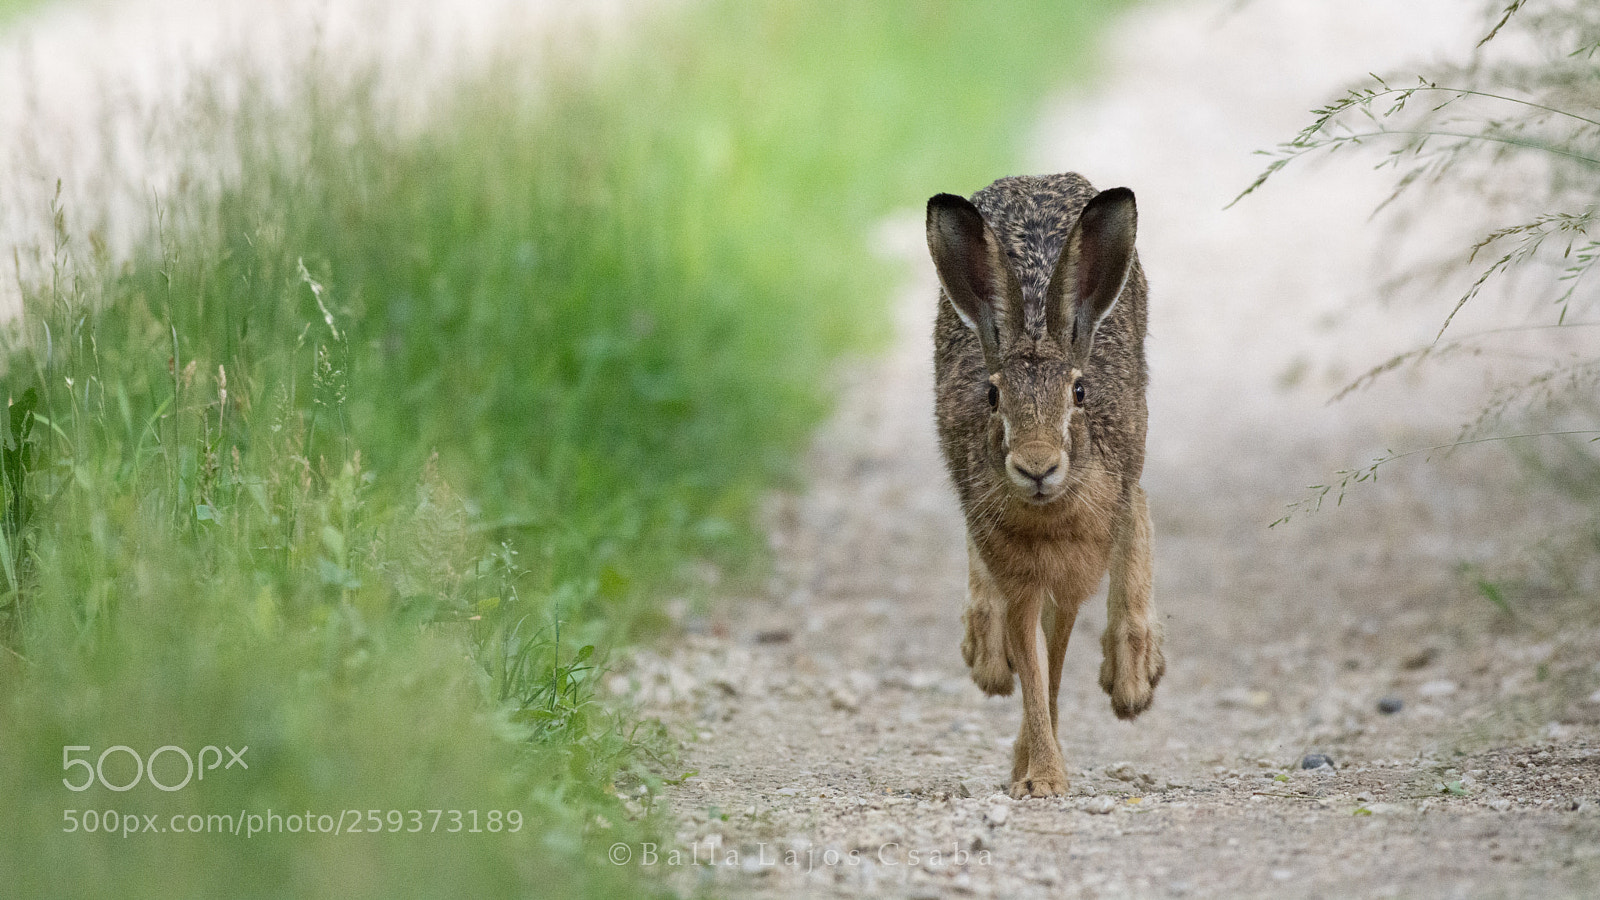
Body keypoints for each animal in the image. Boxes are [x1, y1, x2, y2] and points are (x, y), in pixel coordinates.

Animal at [927, 173, 1165, 799]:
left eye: (1078, 393)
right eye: (993, 396)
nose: (1037, 467)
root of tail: (1035, 178)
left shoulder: (1073, 579)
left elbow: (1053, 663)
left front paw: (1039, 771)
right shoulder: (1017, 579)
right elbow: (1031, 666)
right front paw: (1039, 774)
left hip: (1136, 431)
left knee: (1139, 503)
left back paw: (1133, 673)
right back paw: (985, 654)